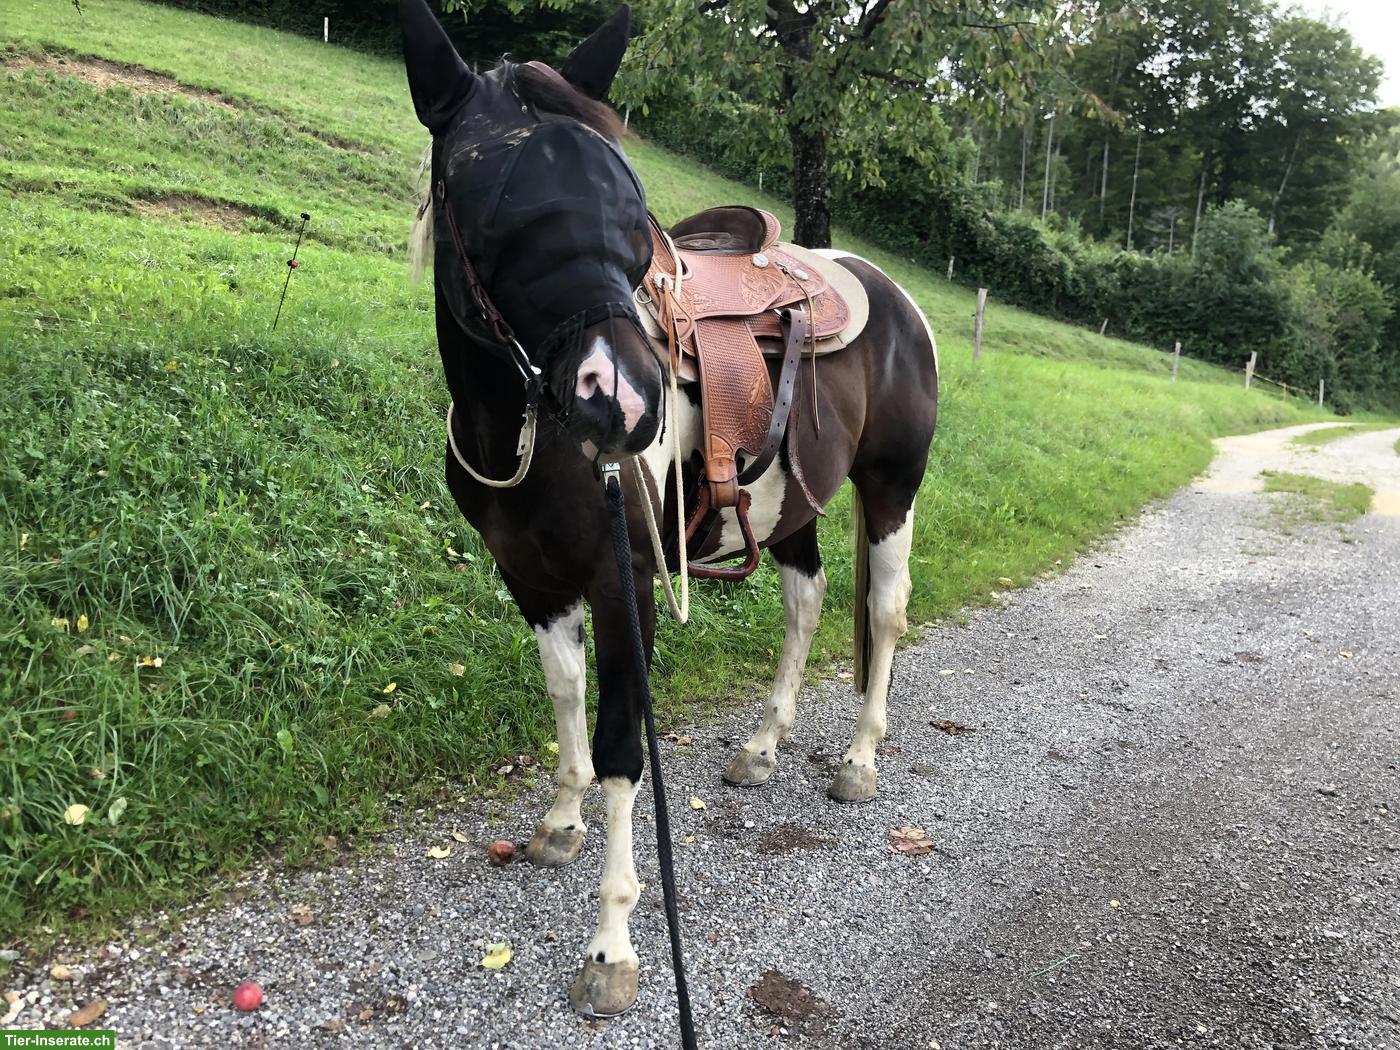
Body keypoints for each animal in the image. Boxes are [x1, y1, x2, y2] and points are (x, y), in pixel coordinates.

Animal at [398, 0, 938, 1017]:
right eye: (488, 202)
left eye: (627, 203)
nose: (628, 401)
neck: (523, 425)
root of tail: (887, 290)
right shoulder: (530, 577)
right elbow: (565, 694)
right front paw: (560, 819)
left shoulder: (625, 582)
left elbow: (622, 742)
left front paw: (611, 948)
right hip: (794, 506)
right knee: (805, 601)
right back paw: (764, 746)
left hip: (891, 490)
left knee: (884, 610)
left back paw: (858, 760)